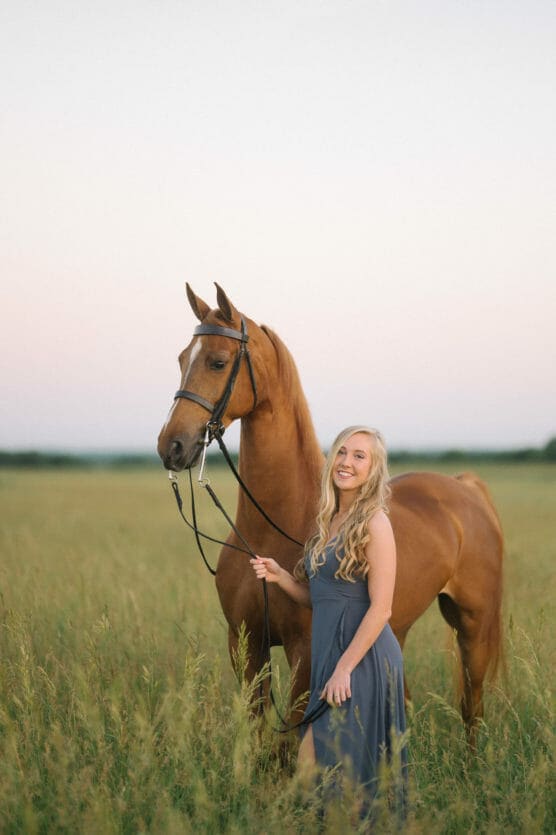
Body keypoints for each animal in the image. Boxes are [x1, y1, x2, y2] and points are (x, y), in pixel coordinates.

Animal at [157, 283, 504, 737]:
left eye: (218, 362)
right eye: (182, 359)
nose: (171, 446)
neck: (271, 526)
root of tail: (464, 488)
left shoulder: (306, 651)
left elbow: (288, 742)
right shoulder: (246, 644)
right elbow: (257, 736)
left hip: (473, 626)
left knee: (473, 707)